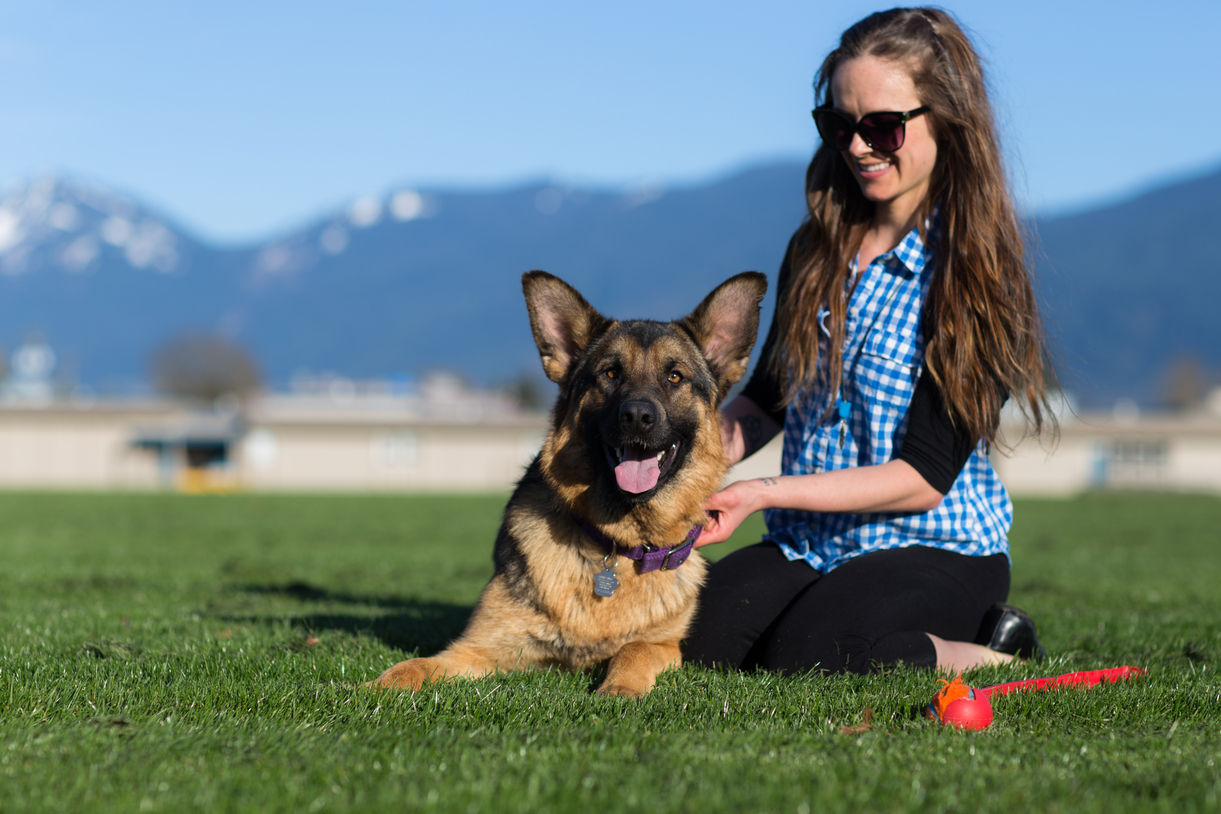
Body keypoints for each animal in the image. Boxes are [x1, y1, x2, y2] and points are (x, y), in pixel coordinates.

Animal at [376, 270, 766, 698]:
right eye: (611, 373)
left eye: (674, 376)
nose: (637, 416)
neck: (616, 543)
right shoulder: (478, 647)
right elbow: (414, 666)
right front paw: (371, 686)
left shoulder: (664, 644)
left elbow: (634, 649)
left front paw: (619, 689)